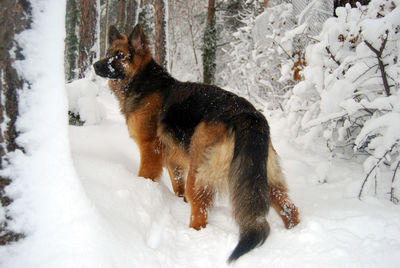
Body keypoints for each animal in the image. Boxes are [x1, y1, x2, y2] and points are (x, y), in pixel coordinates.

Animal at [94, 24, 300, 262]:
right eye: (108, 53)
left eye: (119, 56)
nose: (95, 65)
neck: (142, 81)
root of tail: (246, 114)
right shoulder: (173, 162)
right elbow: (177, 187)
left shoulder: (150, 149)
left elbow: (146, 175)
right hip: (263, 176)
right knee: (289, 207)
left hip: (199, 175)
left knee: (200, 211)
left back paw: (193, 233)